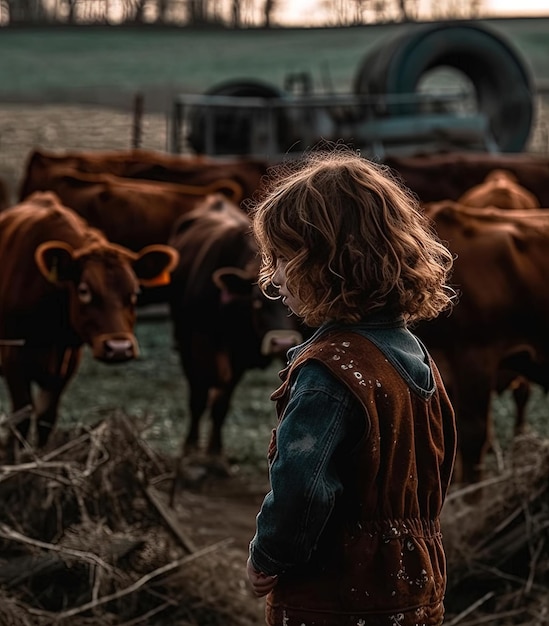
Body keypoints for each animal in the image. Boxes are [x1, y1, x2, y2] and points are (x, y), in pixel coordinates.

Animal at [0, 191, 178, 448]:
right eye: (84, 290)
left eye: (135, 291)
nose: (119, 348)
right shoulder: (12, 356)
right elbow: (20, 420)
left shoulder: (67, 361)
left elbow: (46, 418)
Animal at [168, 193, 302, 476]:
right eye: (257, 302)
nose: (282, 341)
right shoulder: (194, 345)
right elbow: (198, 397)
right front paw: (190, 450)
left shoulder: (238, 357)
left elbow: (222, 403)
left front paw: (215, 453)